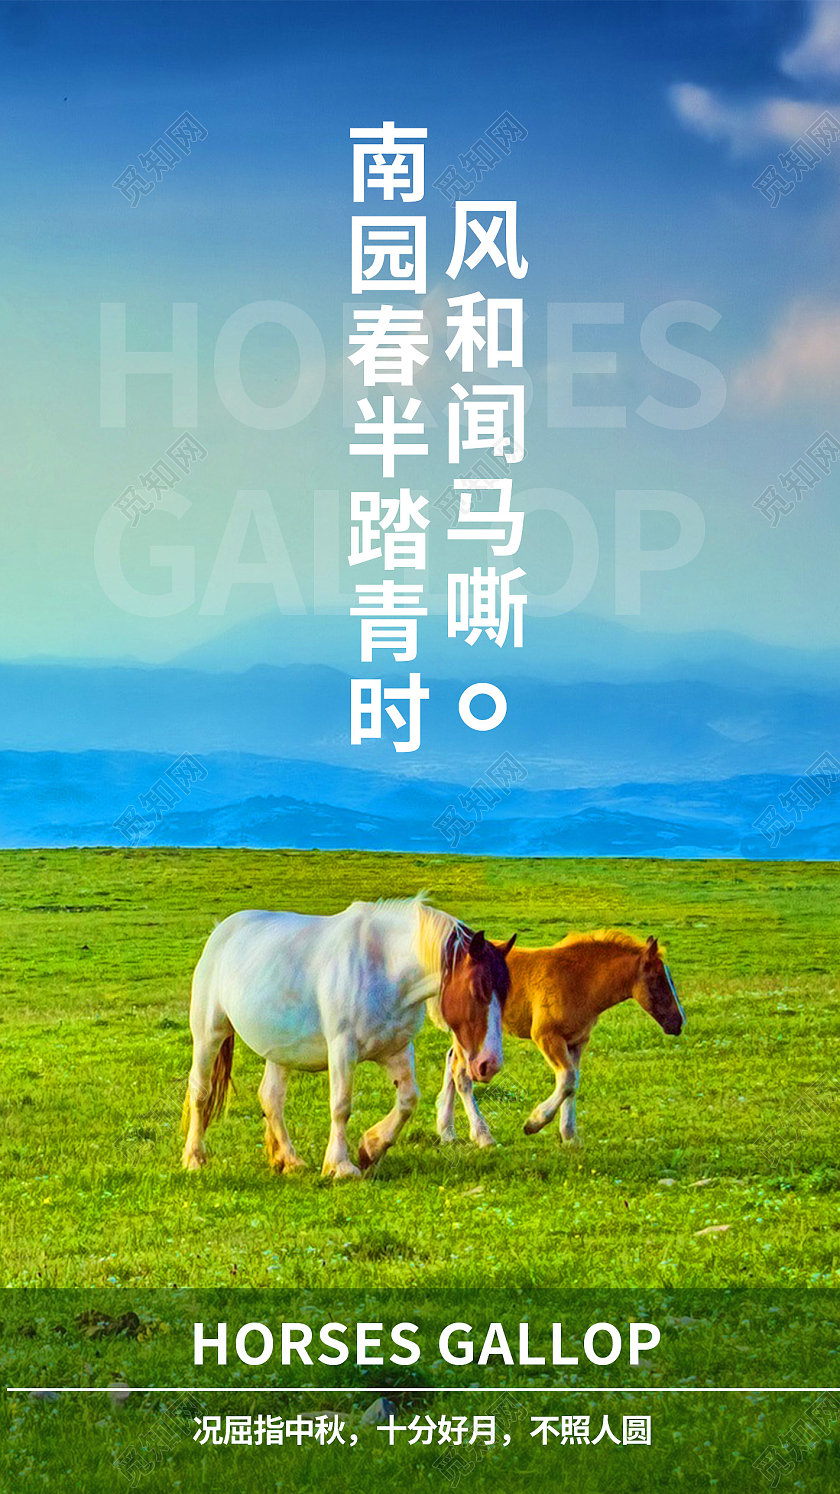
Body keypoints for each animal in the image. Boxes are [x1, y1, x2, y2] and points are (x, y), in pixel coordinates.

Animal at [182, 895, 516, 1180]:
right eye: (478, 989)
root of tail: (221, 931)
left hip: (280, 1051)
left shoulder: (397, 1050)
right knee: (200, 1091)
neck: (385, 967)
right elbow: (341, 1106)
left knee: (271, 1099)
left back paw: (289, 1159)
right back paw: (194, 1158)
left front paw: (371, 1147)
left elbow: (408, 1099)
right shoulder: (343, 1049)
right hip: (209, 1034)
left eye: (505, 993)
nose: (489, 1064)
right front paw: (340, 1165)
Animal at [435, 931, 685, 1149]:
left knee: (451, 1060)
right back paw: (482, 1136)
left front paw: (570, 1136)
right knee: (461, 1074)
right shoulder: (547, 1036)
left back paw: (447, 1131)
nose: (678, 1022)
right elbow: (567, 1080)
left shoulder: (576, 1042)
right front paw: (534, 1122)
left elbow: (572, 1084)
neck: (579, 981)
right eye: (658, 979)